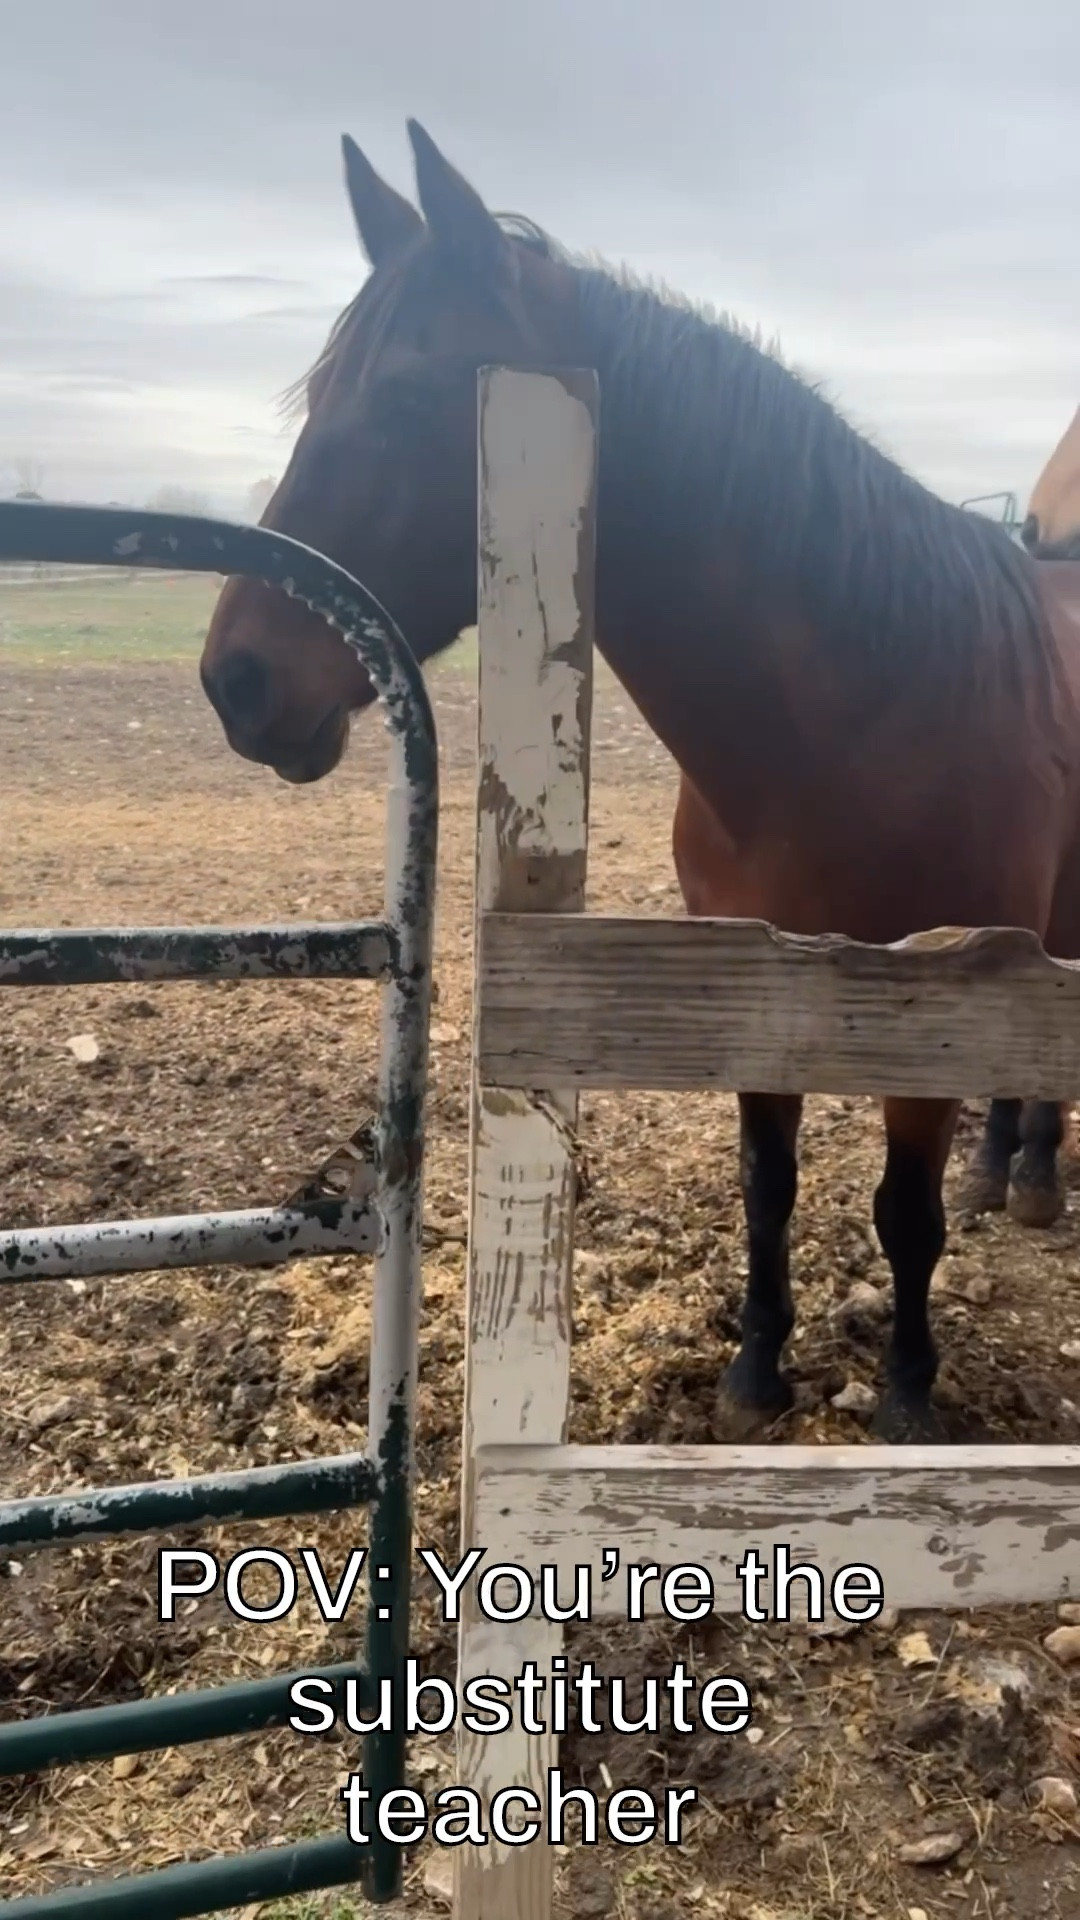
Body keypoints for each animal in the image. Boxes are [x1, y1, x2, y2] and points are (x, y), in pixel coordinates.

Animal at [200, 121, 1080, 1443]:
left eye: (408, 398)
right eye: (319, 399)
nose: (235, 678)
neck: (864, 715)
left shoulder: (929, 998)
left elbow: (902, 1214)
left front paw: (909, 1391)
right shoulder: (759, 978)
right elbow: (769, 1185)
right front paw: (756, 1370)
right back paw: (1007, 1175)